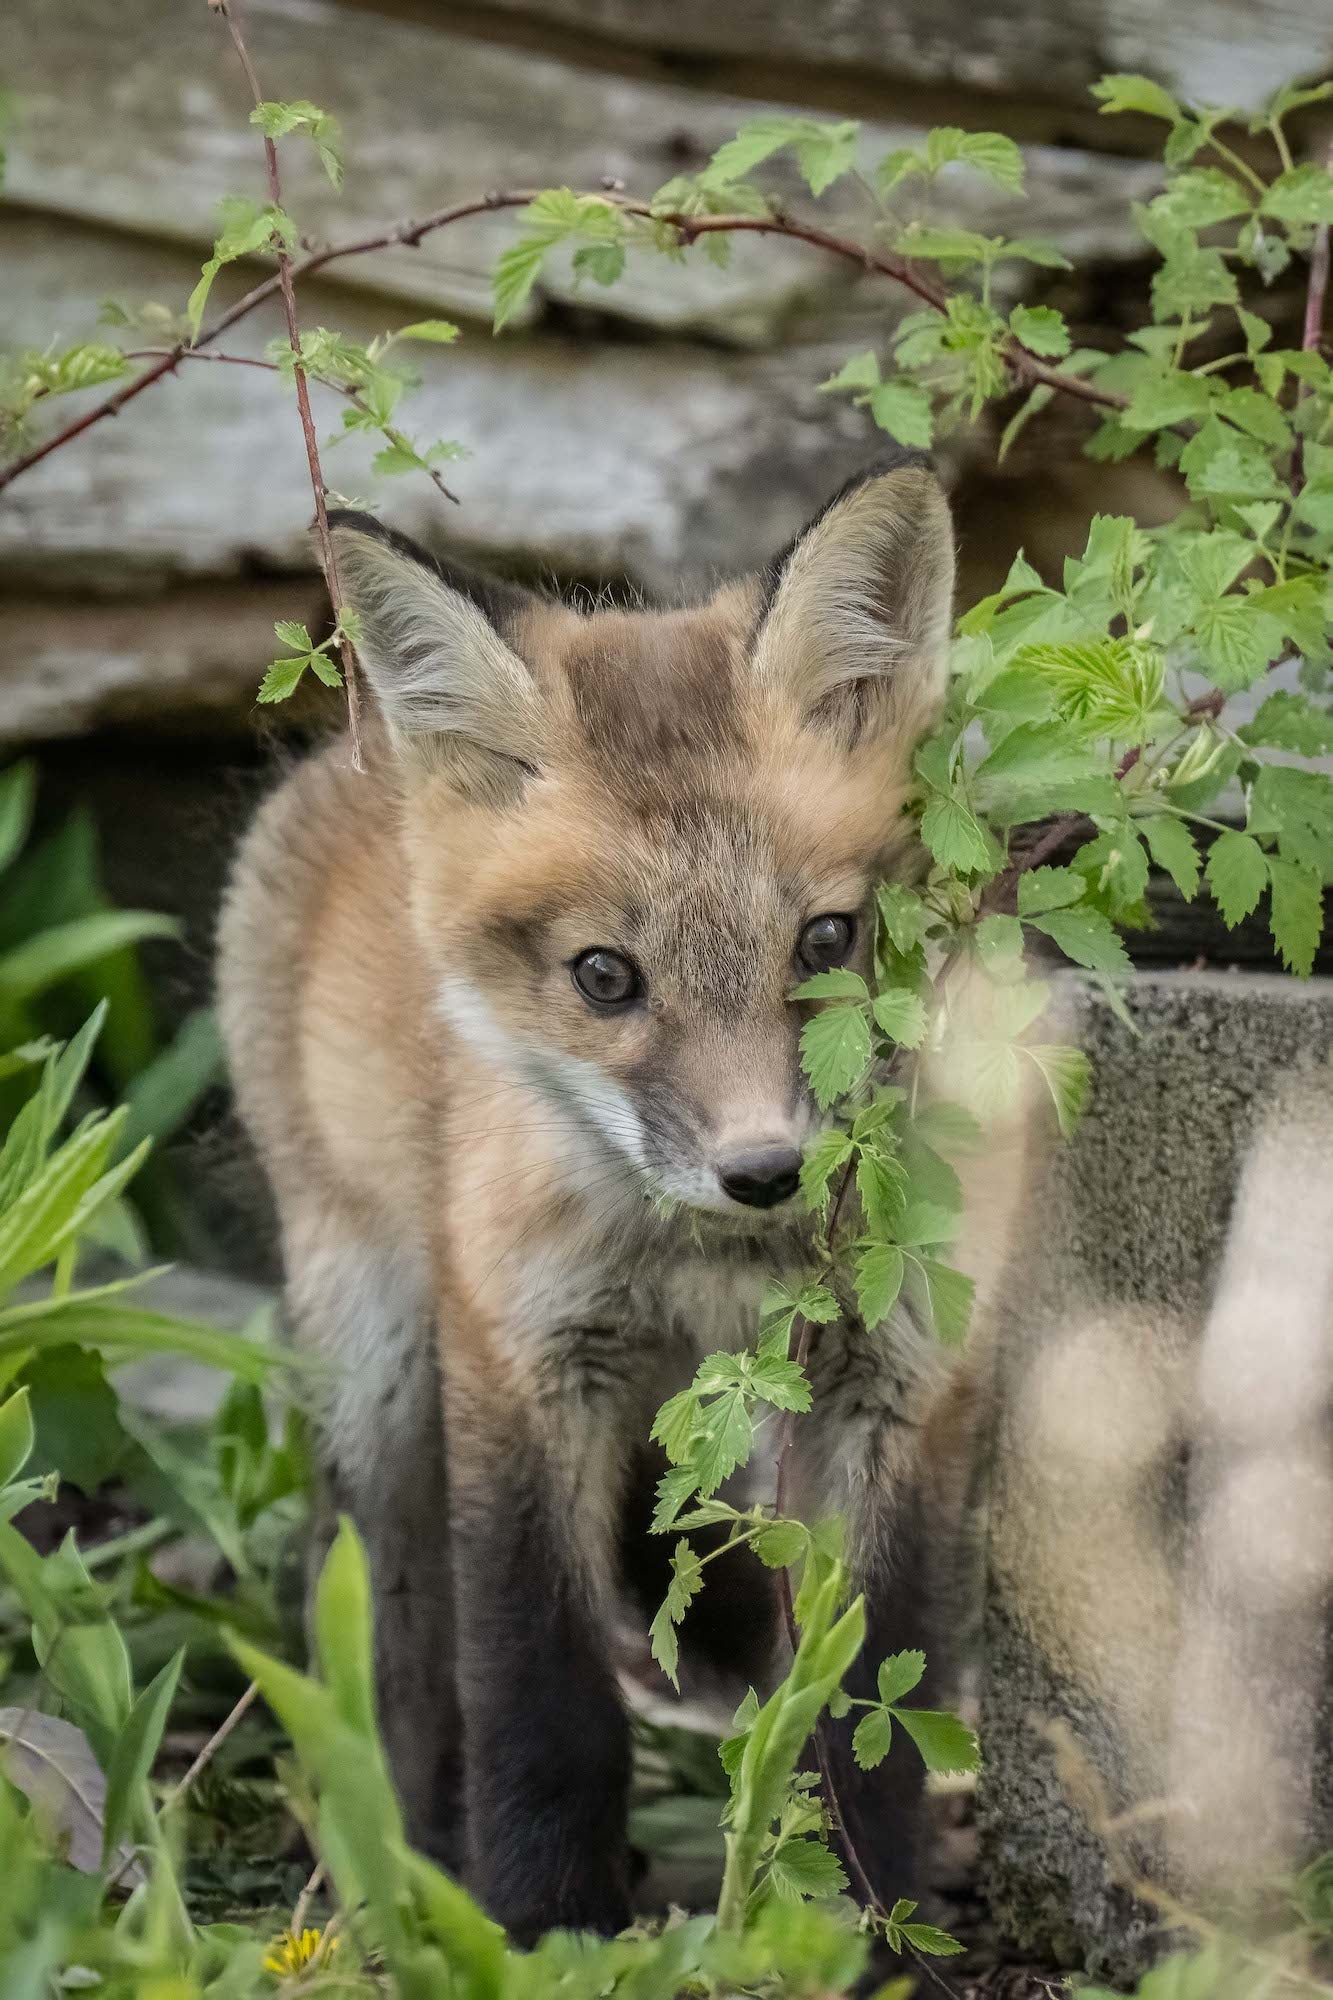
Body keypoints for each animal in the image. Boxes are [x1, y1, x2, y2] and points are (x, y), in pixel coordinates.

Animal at [216, 451, 960, 1944]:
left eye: (827, 941)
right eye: (605, 977)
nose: (763, 1169)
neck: (703, 1263)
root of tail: (346, 753)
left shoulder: (879, 1380)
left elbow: (860, 1713)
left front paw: (871, 1934)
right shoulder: (525, 1366)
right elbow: (537, 1693)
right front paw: (542, 1925)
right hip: (379, 1361)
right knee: (381, 1608)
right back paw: (400, 1842)